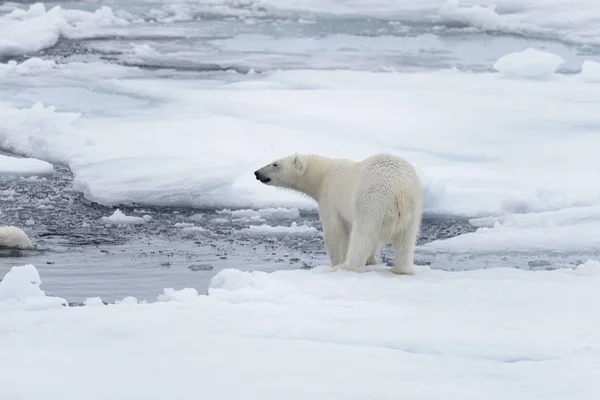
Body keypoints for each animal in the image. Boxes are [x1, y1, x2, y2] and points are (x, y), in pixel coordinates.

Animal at [253, 153, 422, 276]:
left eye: (275, 164)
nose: (257, 172)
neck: (324, 174)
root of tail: (401, 188)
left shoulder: (330, 198)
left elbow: (334, 232)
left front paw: (337, 261)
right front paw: (371, 260)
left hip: (372, 200)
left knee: (363, 233)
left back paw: (345, 267)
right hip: (414, 208)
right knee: (407, 239)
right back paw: (401, 269)